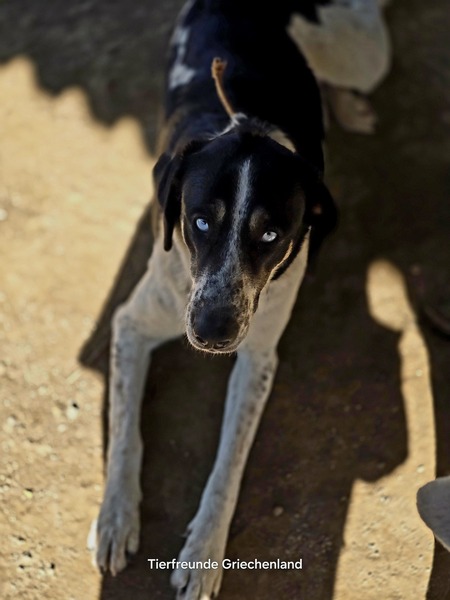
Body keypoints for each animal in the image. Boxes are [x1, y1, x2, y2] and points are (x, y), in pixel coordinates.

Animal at [89, 1, 391, 598]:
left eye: (272, 235)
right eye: (200, 221)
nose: (212, 334)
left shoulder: (256, 359)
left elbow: (228, 464)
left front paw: (203, 552)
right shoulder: (132, 323)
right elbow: (125, 434)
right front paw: (116, 518)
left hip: (367, 52)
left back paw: (346, 105)